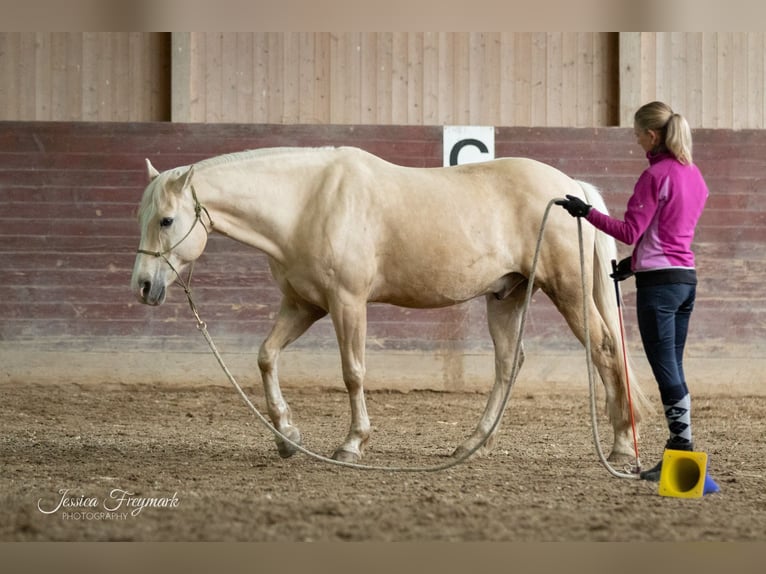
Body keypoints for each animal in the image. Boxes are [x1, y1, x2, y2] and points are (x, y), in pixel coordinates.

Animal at [131, 146, 651, 464]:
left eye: (166, 219)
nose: (143, 286)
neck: (308, 203)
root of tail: (572, 190)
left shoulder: (347, 304)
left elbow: (353, 372)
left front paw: (352, 444)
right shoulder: (303, 305)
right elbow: (265, 356)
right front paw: (286, 436)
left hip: (568, 291)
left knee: (604, 350)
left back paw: (622, 447)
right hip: (507, 298)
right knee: (508, 366)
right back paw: (471, 445)